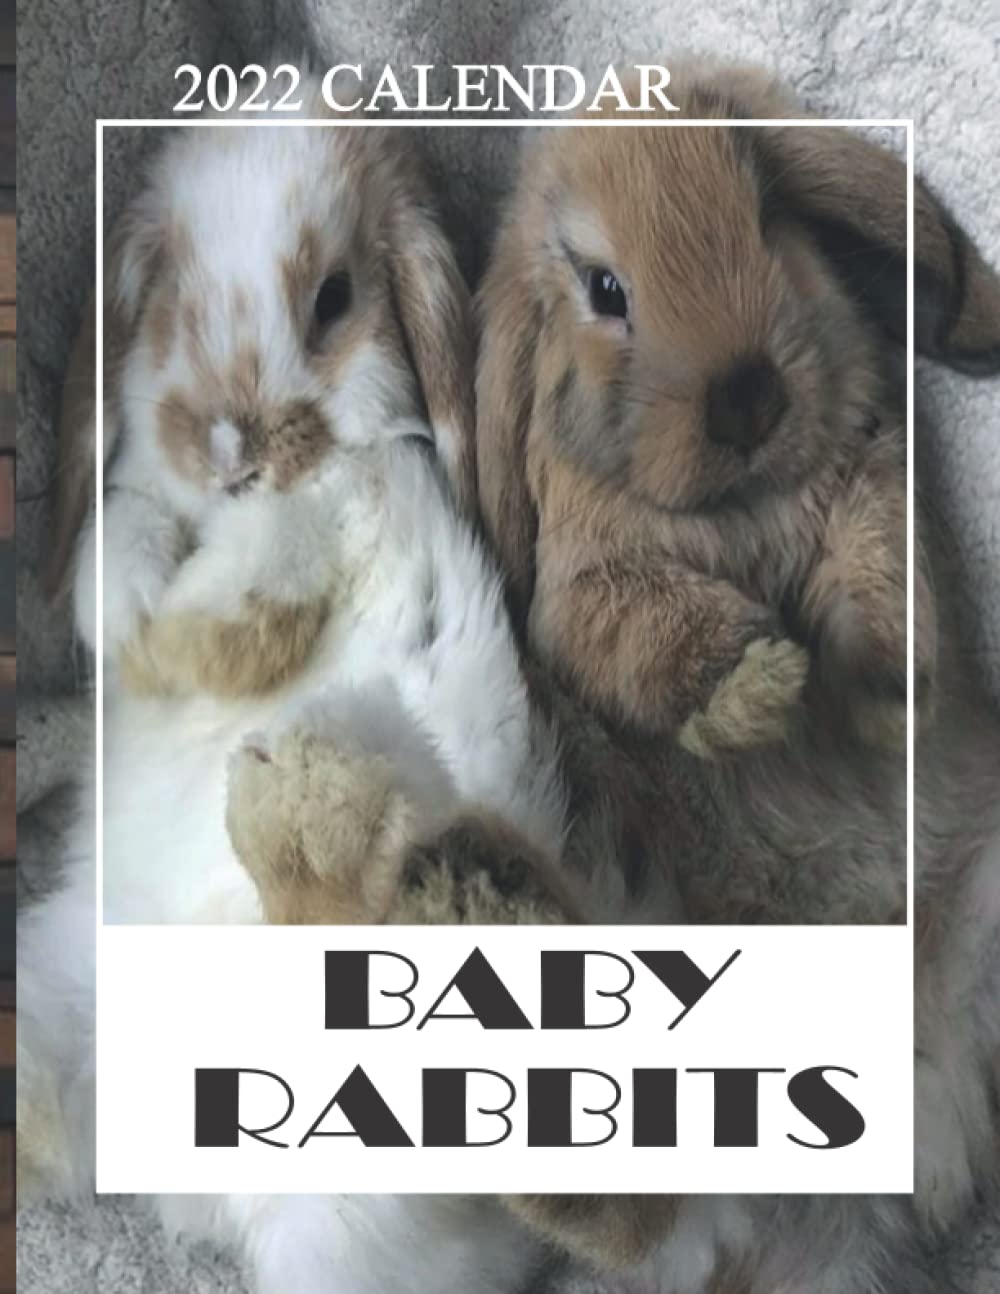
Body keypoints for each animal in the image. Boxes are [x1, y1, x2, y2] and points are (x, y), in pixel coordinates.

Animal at [18, 85, 578, 1294]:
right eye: (165, 301)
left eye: (334, 299)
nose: (231, 446)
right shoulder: (144, 499)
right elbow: (119, 533)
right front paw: (127, 625)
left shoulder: (347, 499)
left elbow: (273, 557)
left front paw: (182, 647)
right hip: (58, 979)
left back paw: (309, 808)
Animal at [237, 63, 1000, 1294]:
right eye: (605, 288)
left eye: (769, 219)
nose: (750, 398)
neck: (735, 506)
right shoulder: (592, 595)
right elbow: (643, 635)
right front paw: (755, 687)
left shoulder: (868, 478)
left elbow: (882, 567)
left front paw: (887, 695)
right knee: (619, 1192)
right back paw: (389, 862)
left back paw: (416, 874)